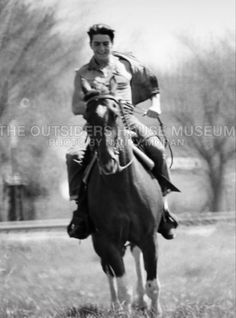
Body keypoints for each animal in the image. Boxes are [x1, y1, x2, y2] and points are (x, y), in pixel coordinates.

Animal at [82, 78, 162, 316]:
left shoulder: (149, 237)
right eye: (87, 117)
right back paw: (115, 305)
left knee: (135, 257)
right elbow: (122, 283)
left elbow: (152, 283)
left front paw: (154, 309)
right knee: (109, 272)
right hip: (102, 243)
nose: (108, 162)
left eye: (115, 114)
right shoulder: (106, 240)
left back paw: (141, 301)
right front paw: (123, 307)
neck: (122, 188)